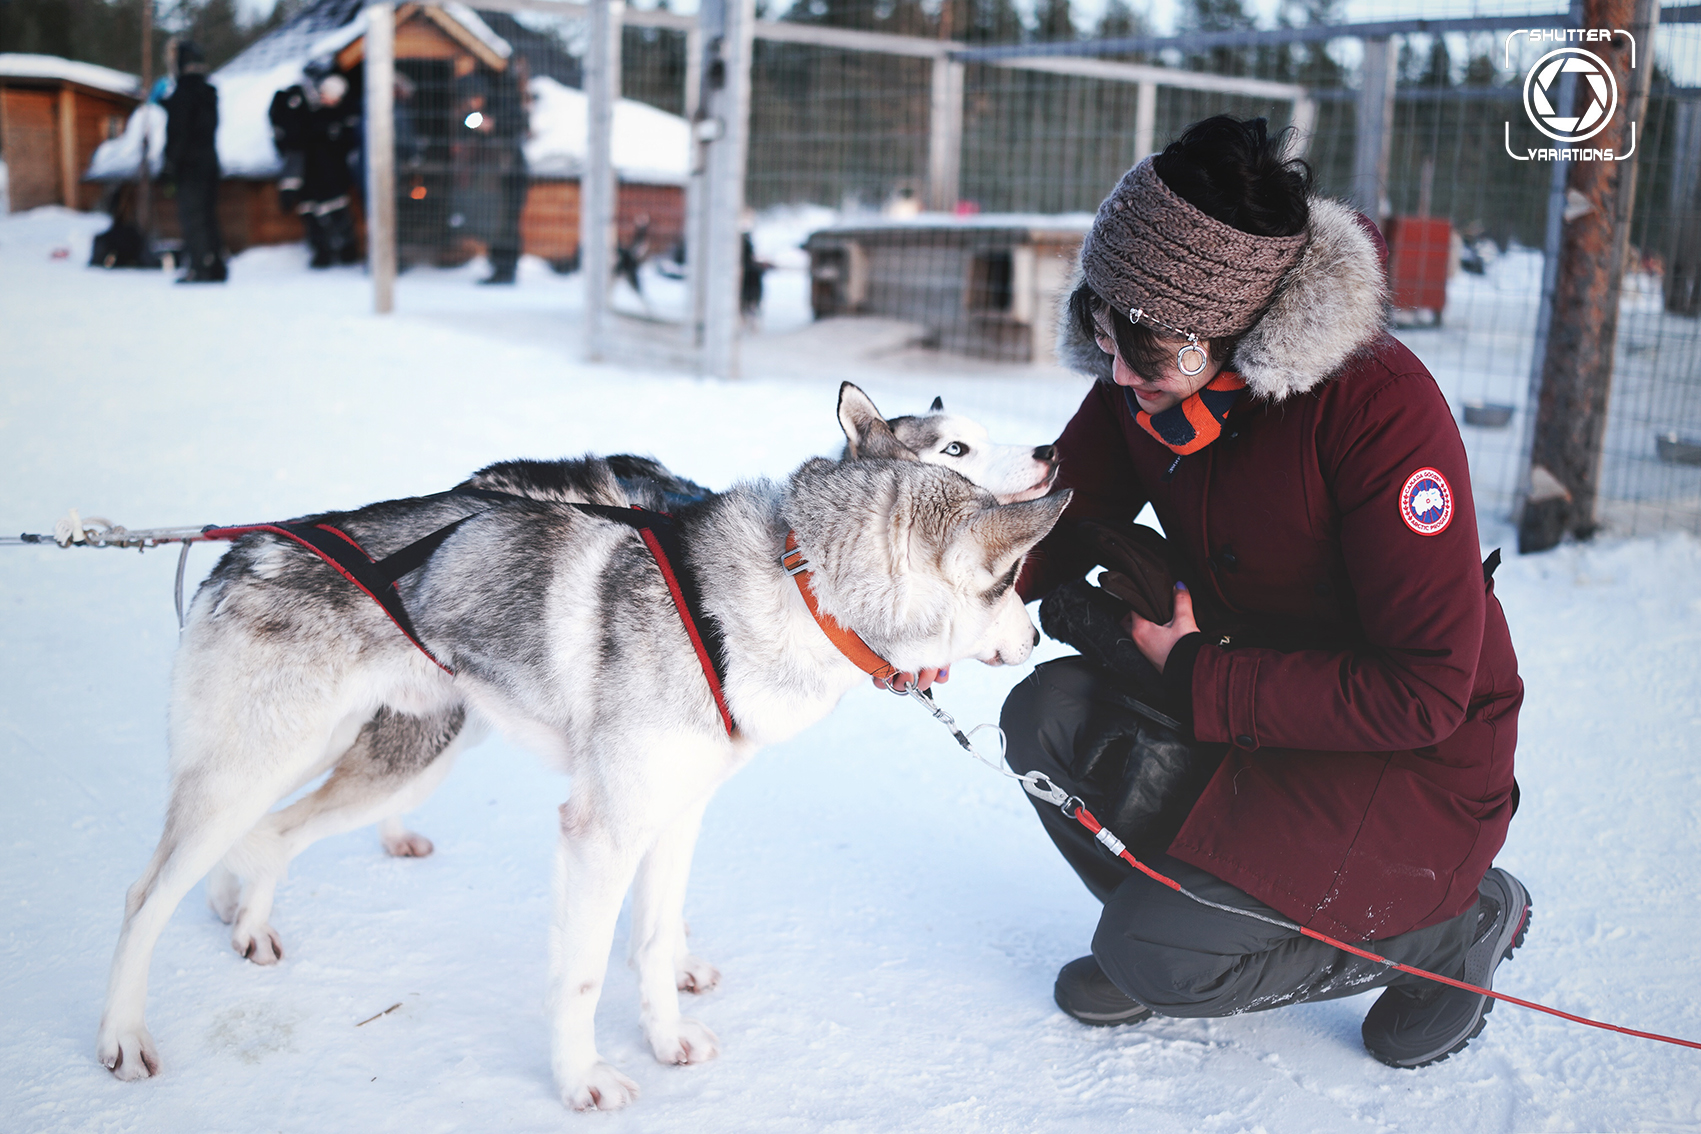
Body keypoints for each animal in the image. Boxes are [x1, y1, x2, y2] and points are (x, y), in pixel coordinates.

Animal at [96, 406, 1061, 1108]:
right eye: (1008, 581)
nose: (1038, 636)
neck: (797, 587)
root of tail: (248, 543)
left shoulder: (674, 811)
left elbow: (655, 938)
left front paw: (667, 1036)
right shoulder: (600, 832)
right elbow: (586, 973)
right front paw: (580, 1080)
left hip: (398, 755)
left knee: (273, 835)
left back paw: (248, 920)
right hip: (258, 767)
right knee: (151, 893)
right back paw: (125, 1034)